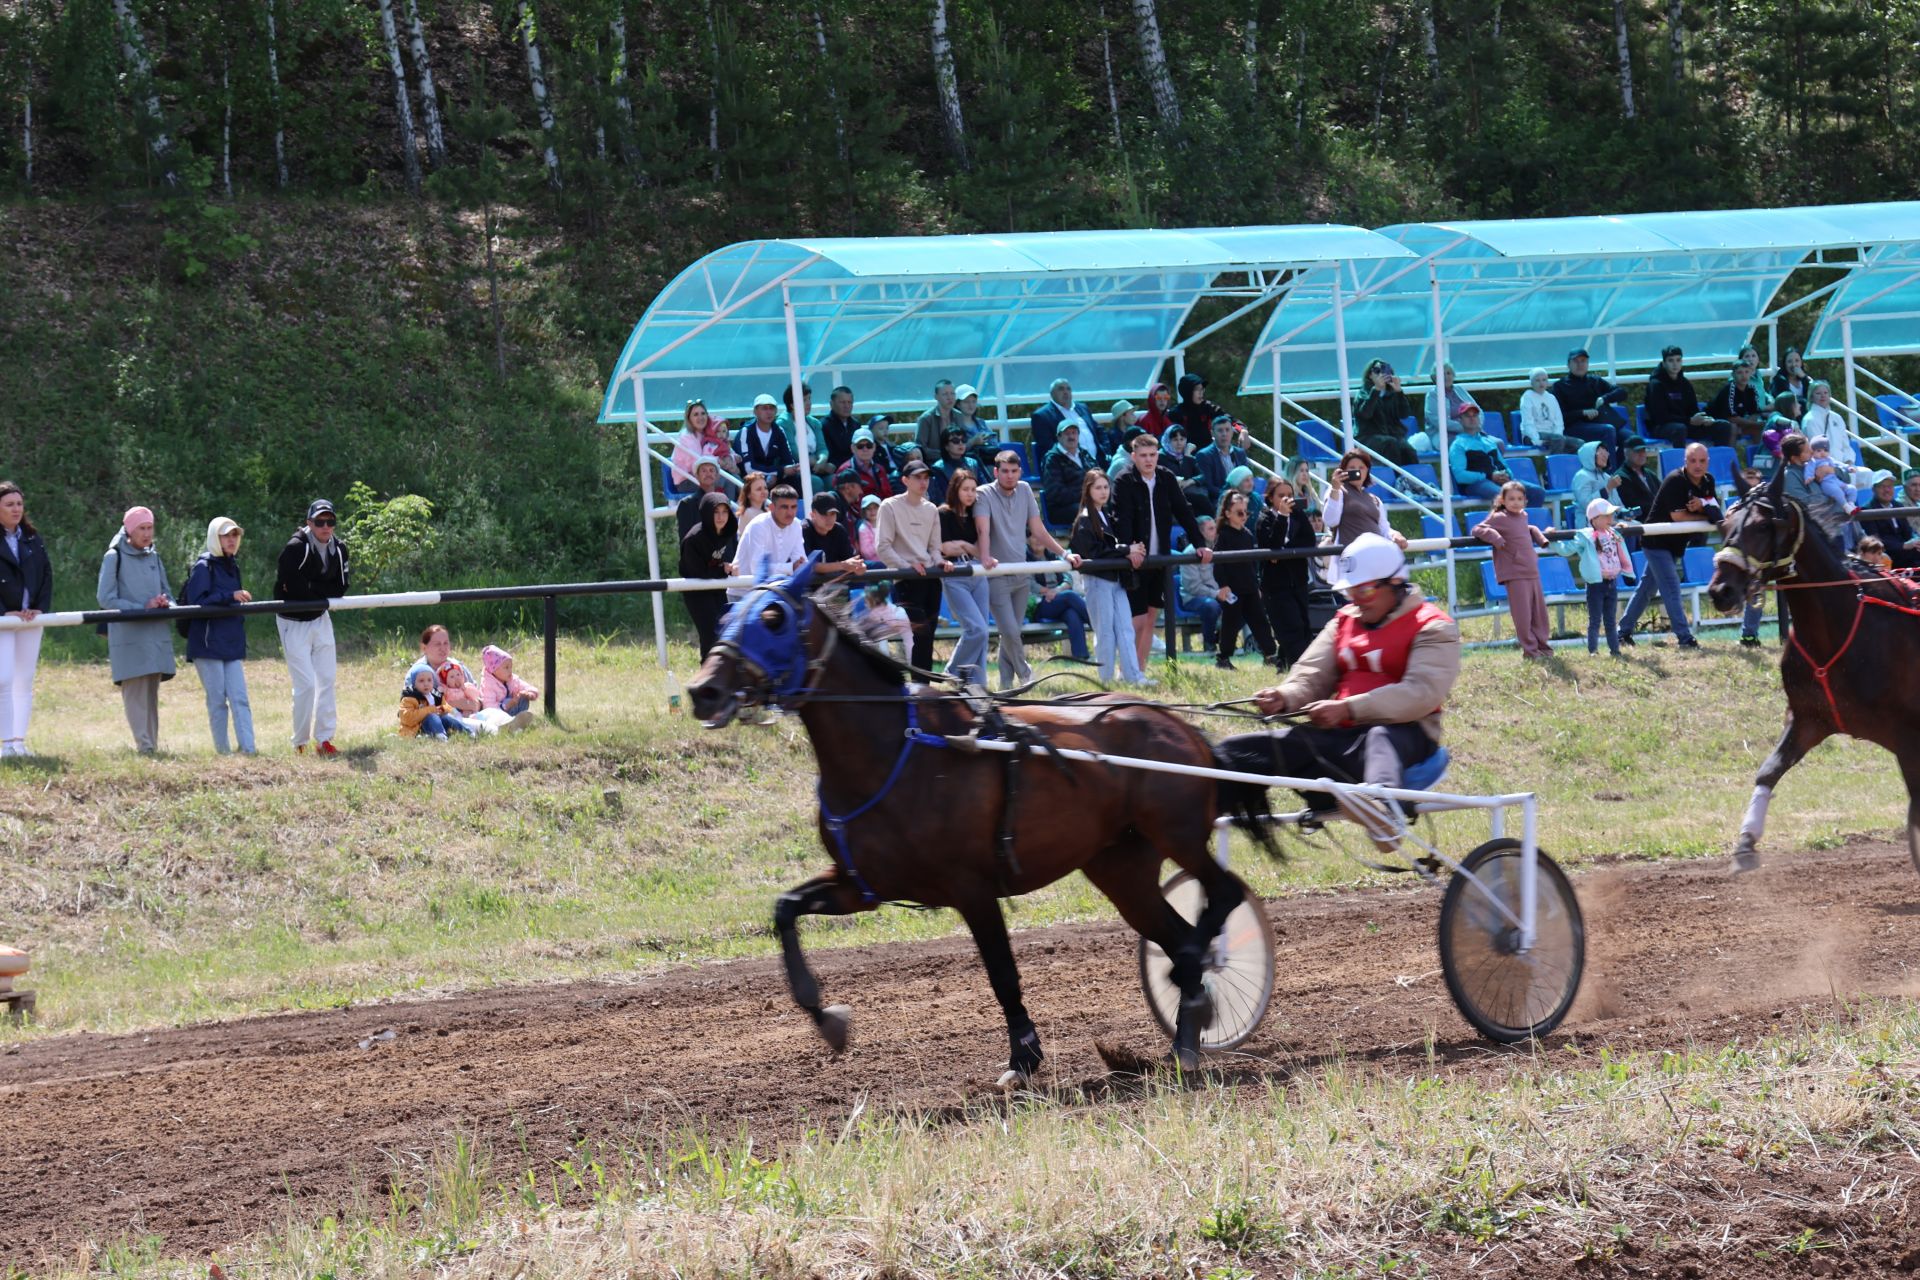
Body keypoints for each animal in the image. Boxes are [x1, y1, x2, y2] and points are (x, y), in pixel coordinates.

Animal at [1712, 475, 1920, 875]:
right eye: (1724, 525)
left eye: (1764, 525)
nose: (1720, 590)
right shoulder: (1809, 718)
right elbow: (1769, 771)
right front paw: (1745, 843)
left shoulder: (1908, 734)